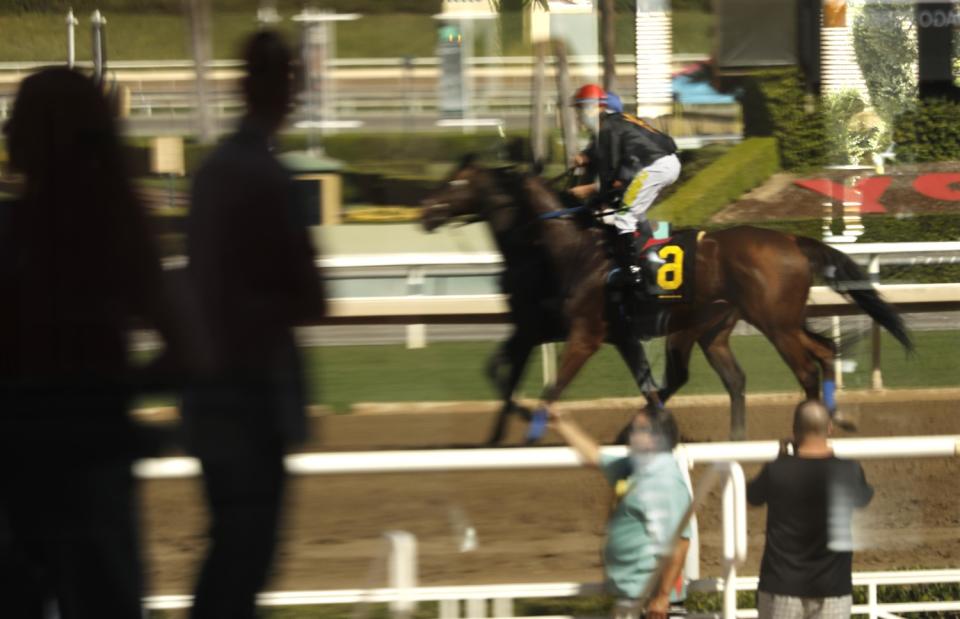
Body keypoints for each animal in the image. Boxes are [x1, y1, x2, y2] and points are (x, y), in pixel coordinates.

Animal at [422, 160, 916, 440]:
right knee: (804, 358)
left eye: (456, 183)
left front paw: (532, 426)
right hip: (737, 325)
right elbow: (647, 387)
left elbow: (552, 388)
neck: (570, 249)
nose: (425, 212)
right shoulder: (607, 334)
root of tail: (793, 239)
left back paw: (811, 425)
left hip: (773, 323)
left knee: (807, 369)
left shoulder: (581, 334)